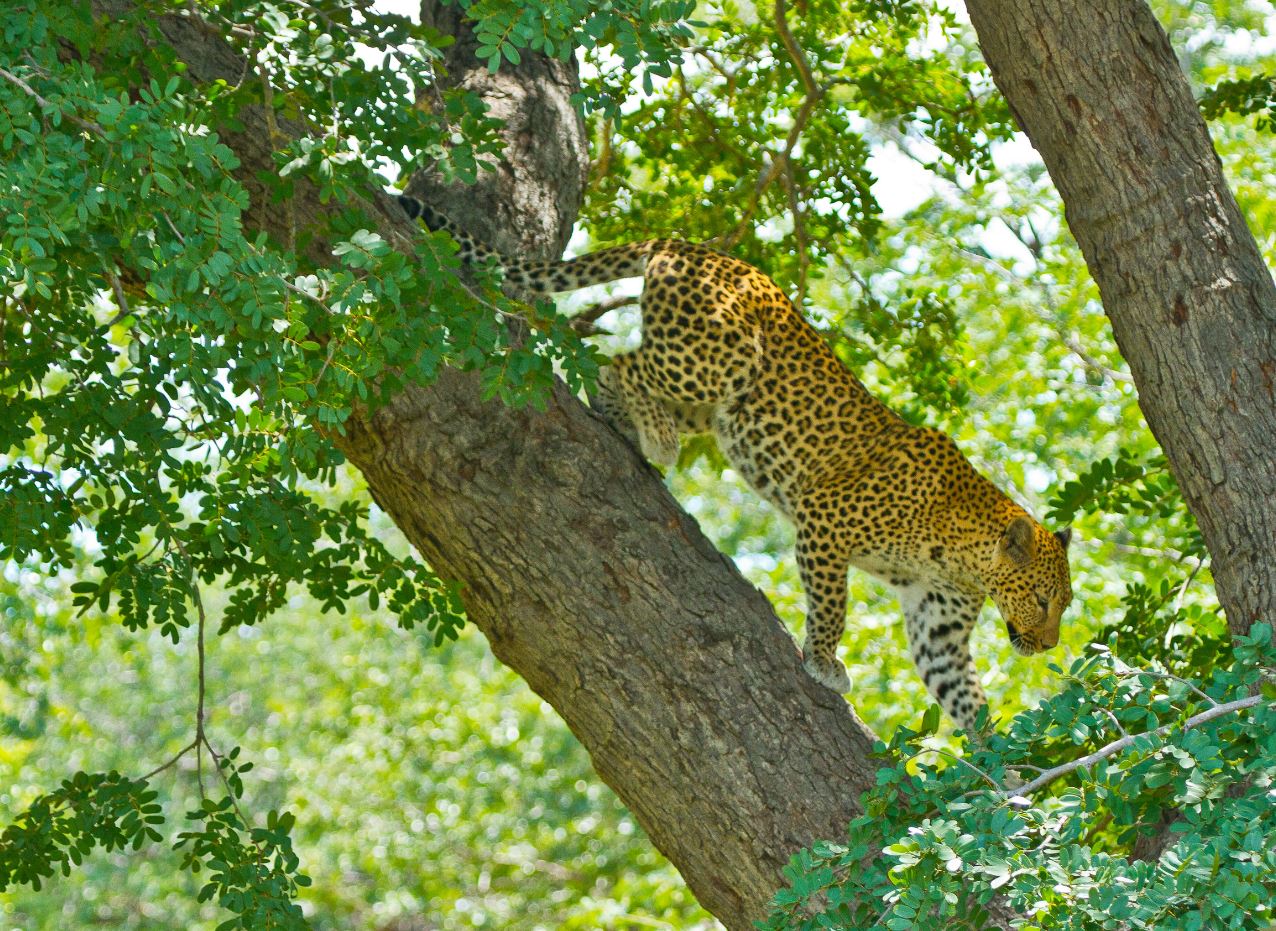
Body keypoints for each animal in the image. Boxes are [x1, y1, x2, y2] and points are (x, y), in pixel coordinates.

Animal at [399, 195, 1074, 731]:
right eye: (1043, 601)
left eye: (1061, 606)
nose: (1044, 647)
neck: (962, 552)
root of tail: (692, 247)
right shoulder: (824, 522)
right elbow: (832, 606)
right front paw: (824, 661)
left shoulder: (938, 623)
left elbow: (962, 692)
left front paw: (1001, 761)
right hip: (721, 358)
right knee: (621, 361)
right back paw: (656, 437)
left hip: (720, 405)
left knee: (620, 372)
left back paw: (628, 428)